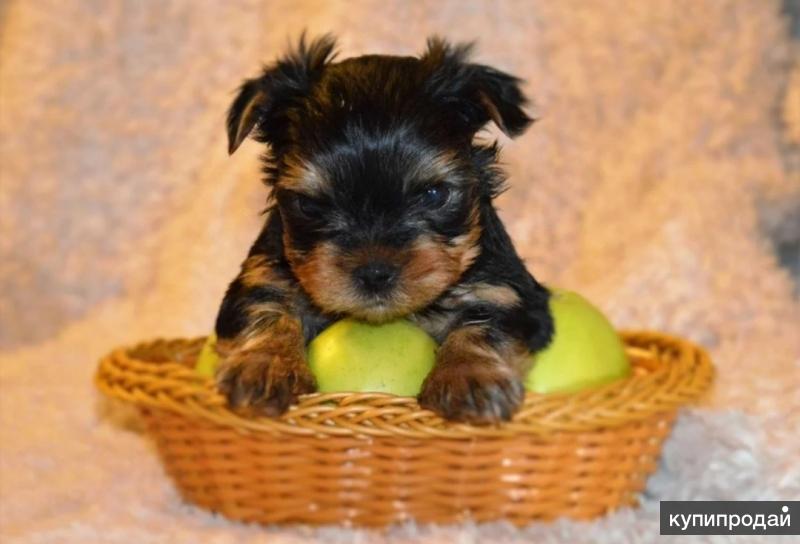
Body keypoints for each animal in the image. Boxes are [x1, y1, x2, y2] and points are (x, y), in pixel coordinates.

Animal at [212, 35, 552, 424]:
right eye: (310, 205)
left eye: (434, 195)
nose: (374, 273)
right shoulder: (262, 275)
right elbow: (264, 308)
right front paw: (264, 366)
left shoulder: (507, 291)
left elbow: (487, 324)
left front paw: (470, 376)